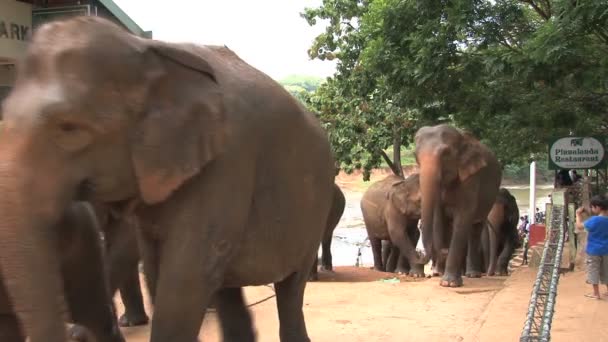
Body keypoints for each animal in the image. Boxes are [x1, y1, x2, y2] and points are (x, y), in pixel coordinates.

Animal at [0, 16, 334, 342]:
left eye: (69, 128)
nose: (73, 332)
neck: (150, 50)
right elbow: (156, 266)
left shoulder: (227, 163)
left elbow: (185, 275)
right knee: (228, 288)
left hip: (313, 207)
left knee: (291, 287)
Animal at [414, 124, 504, 288]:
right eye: (415, 156)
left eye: (445, 154)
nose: (419, 253)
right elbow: (439, 217)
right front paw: (441, 275)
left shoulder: (472, 178)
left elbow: (463, 217)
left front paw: (449, 283)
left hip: (489, 199)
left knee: (474, 230)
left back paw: (472, 274)